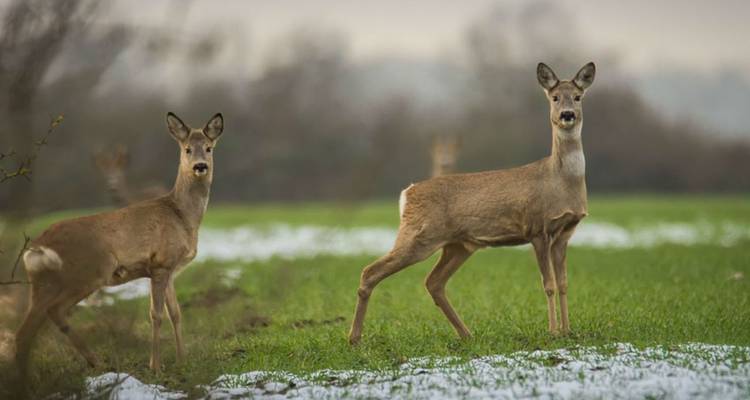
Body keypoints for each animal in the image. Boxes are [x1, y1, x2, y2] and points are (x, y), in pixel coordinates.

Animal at [13, 113, 224, 389]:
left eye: (209, 148)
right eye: (187, 148)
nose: (200, 166)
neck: (182, 216)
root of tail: (37, 247)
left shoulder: (169, 269)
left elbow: (176, 313)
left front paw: (182, 361)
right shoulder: (160, 264)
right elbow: (156, 314)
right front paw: (156, 367)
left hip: (42, 283)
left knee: (26, 330)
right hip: (88, 272)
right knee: (52, 313)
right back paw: (85, 365)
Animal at [349, 62, 595, 344]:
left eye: (577, 97)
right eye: (554, 97)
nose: (567, 114)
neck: (561, 181)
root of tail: (406, 194)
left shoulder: (565, 232)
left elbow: (564, 283)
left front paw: (568, 331)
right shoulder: (538, 229)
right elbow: (549, 285)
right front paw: (553, 332)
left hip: (458, 245)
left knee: (433, 282)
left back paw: (467, 334)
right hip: (418, 235)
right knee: (370, 271)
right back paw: (354, 339)